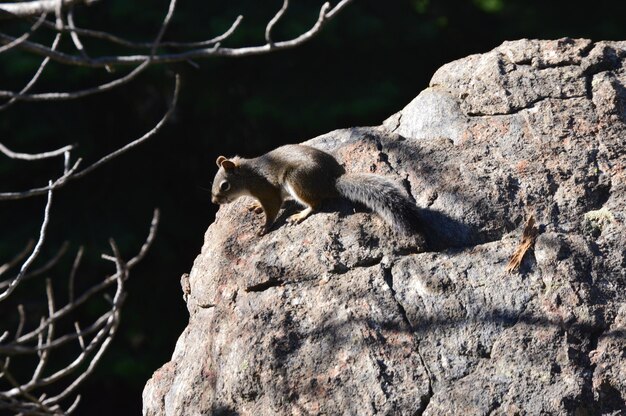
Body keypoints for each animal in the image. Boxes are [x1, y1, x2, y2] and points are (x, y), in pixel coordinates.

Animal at [211, 144, 420, 236]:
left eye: (224, 185)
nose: (214, 202)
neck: (248, 175)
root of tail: (332, 181)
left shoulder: (267, 192)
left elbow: (272, 209)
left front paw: (264, 227)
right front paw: (255, 206)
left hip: (296, 180)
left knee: (316, 203)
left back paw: (300, 215)